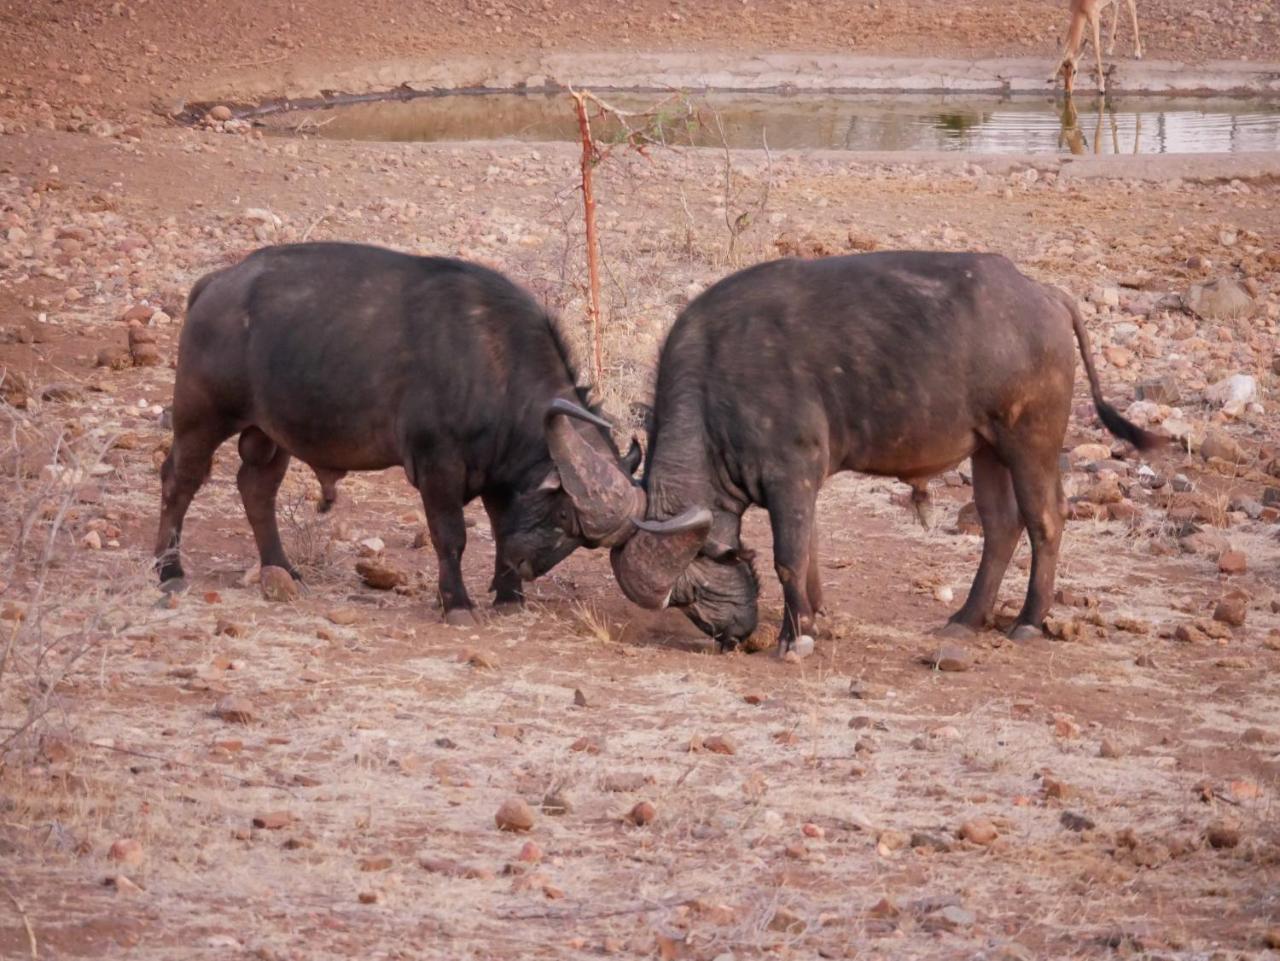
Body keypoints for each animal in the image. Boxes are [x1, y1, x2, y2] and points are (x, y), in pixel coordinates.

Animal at [157, 240, 637, 624]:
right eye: (564, 516)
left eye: (581, 539)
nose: (526, 567)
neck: (492, 363)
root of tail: (215, 284)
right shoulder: (437, 467)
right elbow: (451, 536)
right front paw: (457, 603)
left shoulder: (501, 478)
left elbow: (501, 531)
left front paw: (508, 595)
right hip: (201, 419)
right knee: (178, 481)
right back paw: (168, 571)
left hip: (271, 436)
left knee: (256, 488)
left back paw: (283, 570)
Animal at [545, 249, 1167, 655]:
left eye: (687, 591)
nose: (731, 635)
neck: (718, 382)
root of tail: (1045, 295)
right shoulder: (802, 484)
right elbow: (811, 553)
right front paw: (815, 617)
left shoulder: (789, 475)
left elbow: (789, 557)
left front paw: (796, 638)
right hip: (986, 447)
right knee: (1000, 526)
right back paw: (965, 619)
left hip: (1029, 439)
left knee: (1045, 520)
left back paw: (1029, 622)